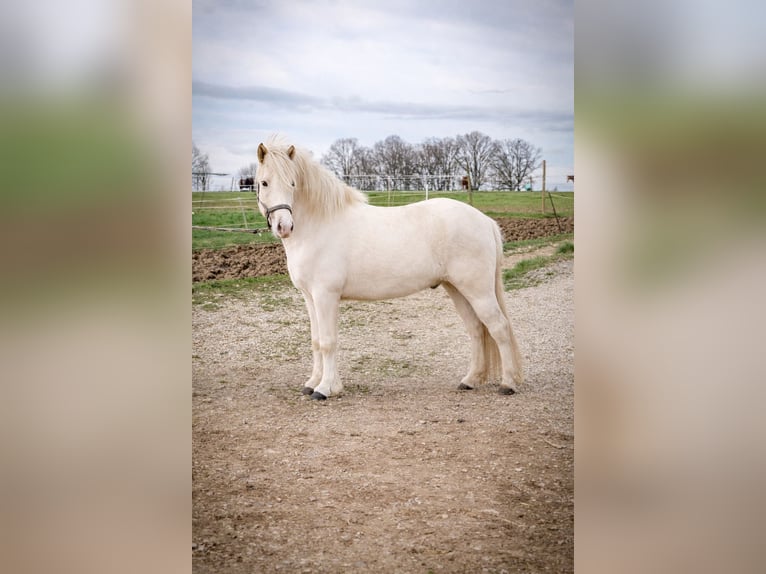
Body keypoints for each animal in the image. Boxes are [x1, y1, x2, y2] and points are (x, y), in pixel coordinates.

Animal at [255, 137, 522, 400]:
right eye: (264, 183)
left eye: (292, 183)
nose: (284, 227)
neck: (319, 225)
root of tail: (485, 221)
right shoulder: (310, 297)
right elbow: (316, 340)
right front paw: (312, 383)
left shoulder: (325, 295)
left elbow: (328, 341)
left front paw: (325, 388)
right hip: (456, 289)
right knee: (476, 329)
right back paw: (470, 380)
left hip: (478, 290)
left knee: (499, 327)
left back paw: (508, 384)